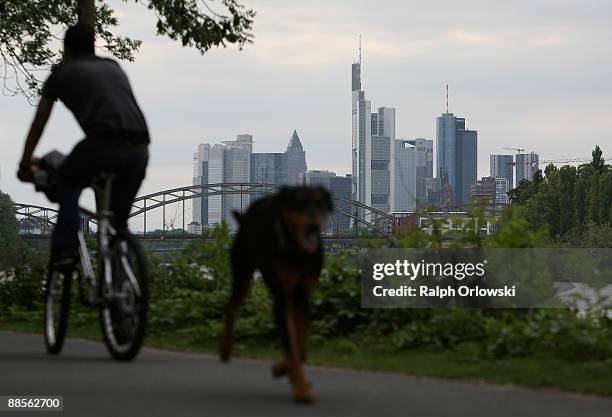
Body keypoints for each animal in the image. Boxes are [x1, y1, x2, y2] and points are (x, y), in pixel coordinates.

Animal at [220, 185, 332, 404]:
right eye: (297, 203)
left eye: (319, 203)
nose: (313, 226)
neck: (298, 252)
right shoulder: (282, 298)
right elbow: (292, 347)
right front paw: (300, 389)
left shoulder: (302, 297)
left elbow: (300, 350)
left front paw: (288, 373)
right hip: (242, 275)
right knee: (231, 308)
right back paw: (226, 349)